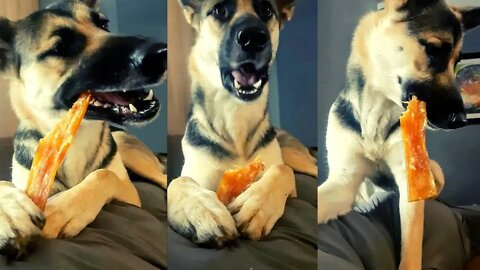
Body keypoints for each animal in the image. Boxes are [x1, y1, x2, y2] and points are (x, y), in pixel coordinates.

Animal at [0, 0, 167, 254]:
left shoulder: (131, 195)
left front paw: (61, 210)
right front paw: (10, 210)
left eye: (104, 24)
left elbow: (104, 174)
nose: (161, 53)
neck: (75, 135)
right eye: (61, 47)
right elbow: (5, 184)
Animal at [169, 0, 318, 245]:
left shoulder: (281, 172)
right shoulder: (197, 176)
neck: (235, 118)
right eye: (219, 10)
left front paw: (256, 205)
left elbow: (282, 170)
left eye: (266, 10)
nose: (253, 38)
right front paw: (203, 211)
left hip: (297, 157)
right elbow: (179, 182)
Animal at [318, 0, 480, 268]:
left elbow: (412, 244)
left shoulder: (410, 181)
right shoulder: (342, 181)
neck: (377, 112)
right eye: (434, 50)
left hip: (435, 170)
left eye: (457, 61)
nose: (462, 120)